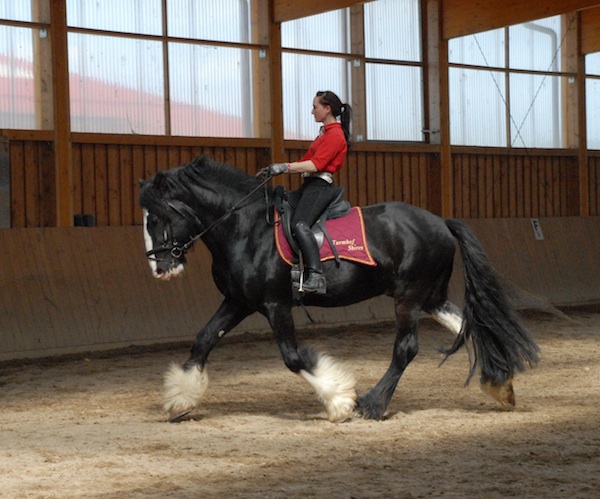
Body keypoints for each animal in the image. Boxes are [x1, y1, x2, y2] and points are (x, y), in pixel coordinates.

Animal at [139, 156, 540, 422]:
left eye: (156, 218)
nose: (159, 269)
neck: (245, 227)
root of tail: (440, 222)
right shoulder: (239, 300)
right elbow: (203, 340)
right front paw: (180, 401)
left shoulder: (274, 304)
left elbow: (293, 357)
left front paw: (339, 400)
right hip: (431, 298)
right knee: (469, 326)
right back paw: (500, 384)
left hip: (409, 297)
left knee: (406, 348)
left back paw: (373, 405)